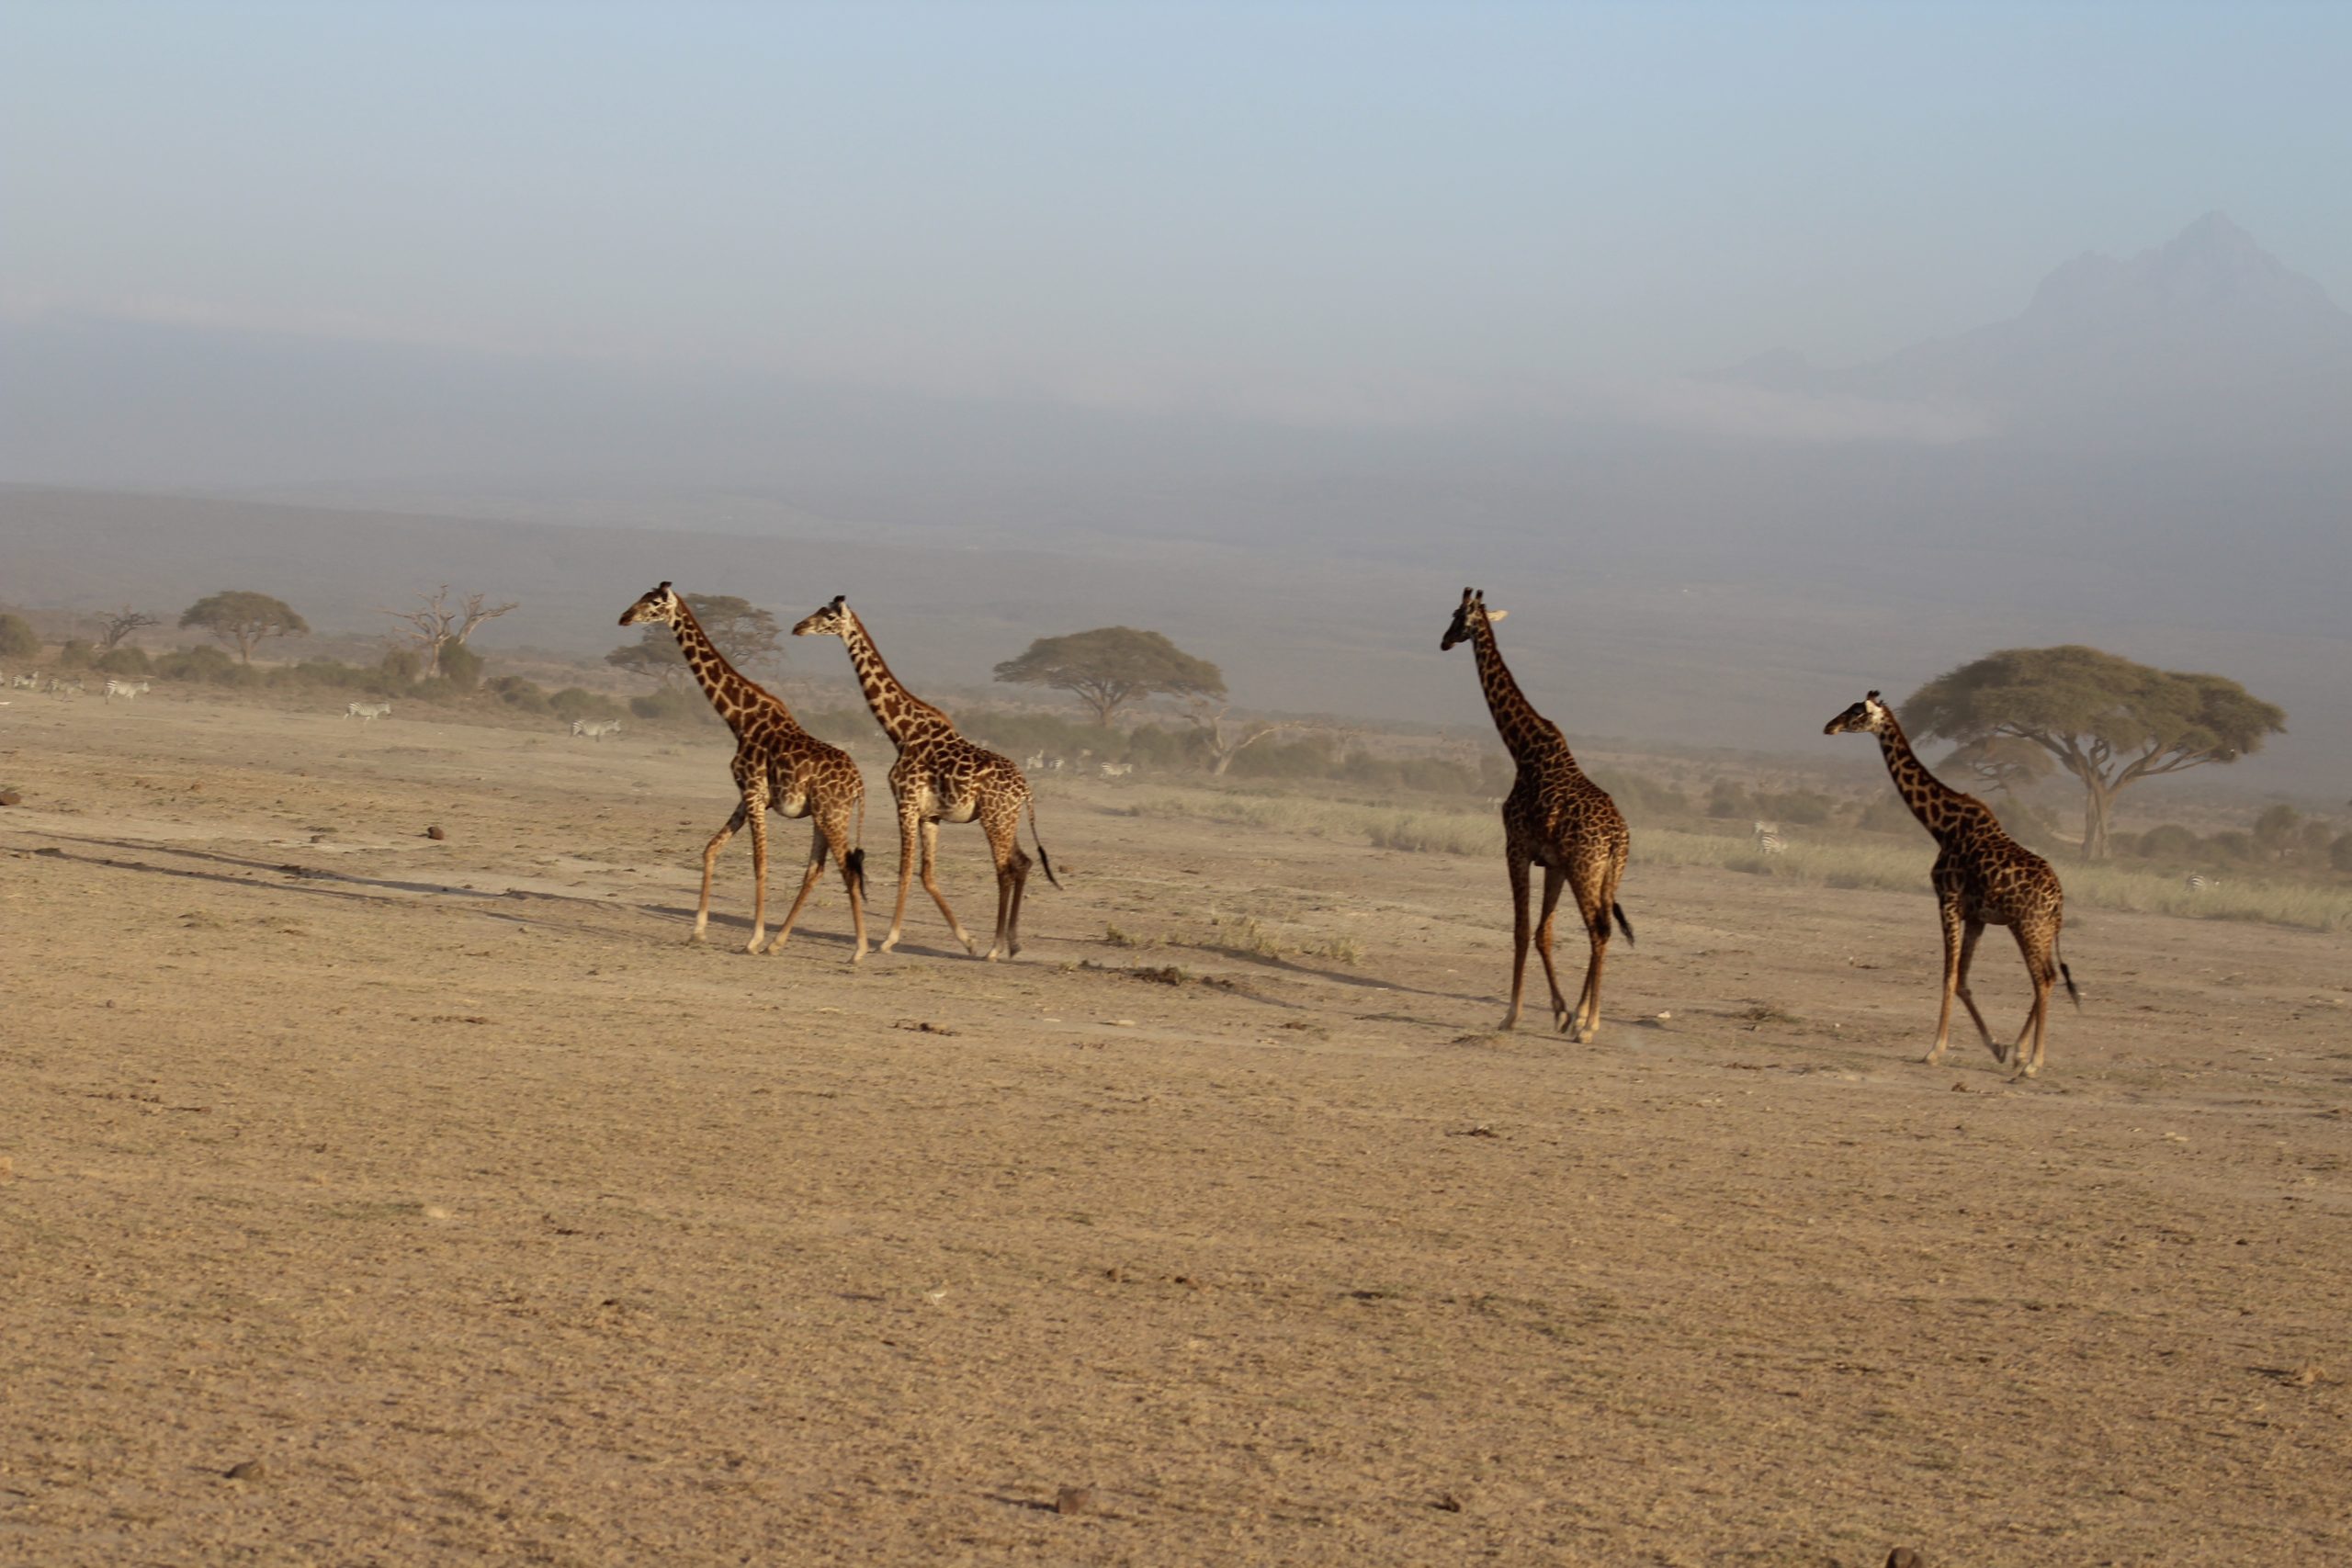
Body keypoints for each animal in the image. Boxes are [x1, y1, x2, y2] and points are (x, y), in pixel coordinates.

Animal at [618, 583, 869, 961]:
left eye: (655, 603)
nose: (625, 617)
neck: (739, 718)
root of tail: (860, 785)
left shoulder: (753, 791)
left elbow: (760, 863)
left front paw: (752, 939)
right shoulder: (748, 796)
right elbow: (711, 849)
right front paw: (698, 932)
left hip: (832, 814)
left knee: (848, 870)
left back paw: (858, 950)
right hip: (823, 816)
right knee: (817, 869)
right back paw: (780, 943)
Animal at [791, 595, 1058, 960]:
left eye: (828, 616)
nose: (798, 627)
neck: (901, 731)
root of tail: (1025, 791)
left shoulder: (905, 803)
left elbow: (904, 870)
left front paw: (888, 940)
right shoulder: (930, 815)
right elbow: (927, 874)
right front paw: (966, 940)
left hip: (994, 818)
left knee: (1004, 870)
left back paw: (995, 947)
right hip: (1007, 819)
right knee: (1023, 863)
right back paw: (1013, 943)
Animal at [1441, 587, 1634, 1042]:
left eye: (1456, 614)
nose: (1443, 641)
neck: (1522, 748)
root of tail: (1619, 836)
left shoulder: (1516, 847)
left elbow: (1521, 929)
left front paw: (1512, 1015)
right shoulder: (1553, 863)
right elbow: (1544, 933)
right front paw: (1561, 1012)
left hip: (1585, 868)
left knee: (1599, 930)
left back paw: (1589, 1025)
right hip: (1608, 874)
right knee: (1601, 929)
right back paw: (1584, 1018)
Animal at [1825, 690, 2078, 1079]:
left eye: (1856, 713)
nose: (1829, 726)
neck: (1941, 826)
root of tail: (2058, 900)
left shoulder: (1947, 900)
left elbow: (1948, 976)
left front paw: (1934, 1051)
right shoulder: (1975, 916)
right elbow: (1961, 979)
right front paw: (1997, 1047)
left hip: (2028, 926)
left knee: (2044, 979)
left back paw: (2033, 1063)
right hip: (2037, 928)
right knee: (2046, 979)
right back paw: (2020, 1052)